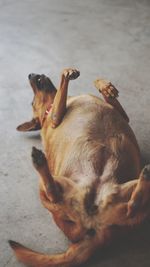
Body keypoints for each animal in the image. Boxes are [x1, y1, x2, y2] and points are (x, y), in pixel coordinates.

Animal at [9, 69, 150, 267]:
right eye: (31, 102)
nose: (30, 74)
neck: (47, 112)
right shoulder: (55, 117)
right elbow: (64, 79)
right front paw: (69, 73)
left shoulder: (123, 115)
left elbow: (101, 87)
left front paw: (105, 86)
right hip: (48, 190)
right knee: (52, 193)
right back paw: (39, 162)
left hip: (127, 195)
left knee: (133, 206)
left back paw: (145, 177)